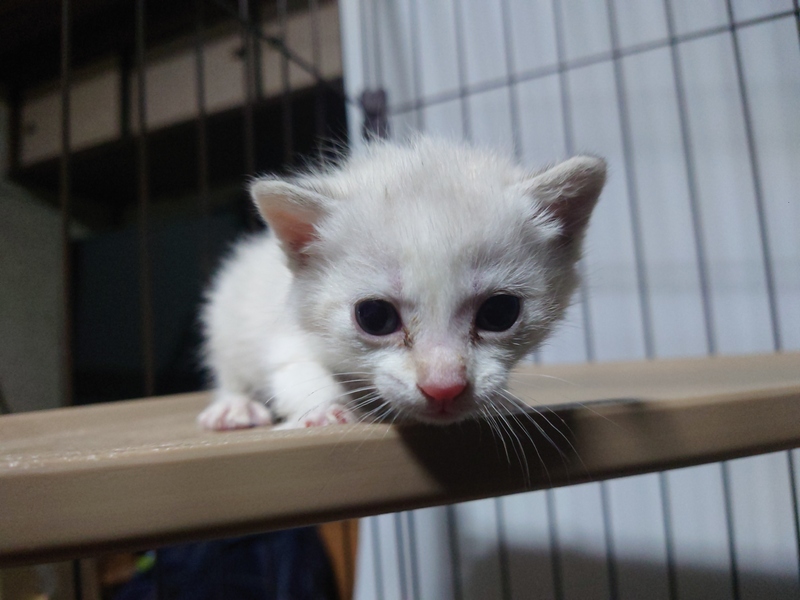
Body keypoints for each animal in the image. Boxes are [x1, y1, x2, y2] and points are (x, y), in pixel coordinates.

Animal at [198, 137, 605, 430]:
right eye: (374, 317)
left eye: (500, 312)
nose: (444, 388)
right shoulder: (290, 330)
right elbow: (298, 371)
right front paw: (326, 409)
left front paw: (501, 402)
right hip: (226, 317)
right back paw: (234, 406)